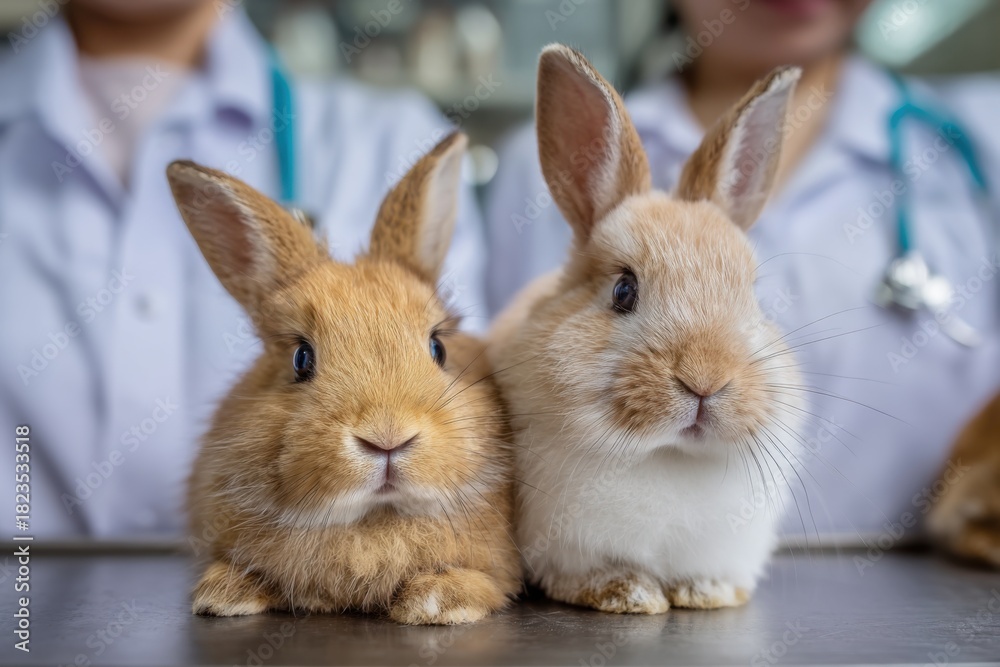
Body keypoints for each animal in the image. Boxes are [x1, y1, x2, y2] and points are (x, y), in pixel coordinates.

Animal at [167, 132, 521, 625]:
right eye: (301, 358)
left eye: (439, 348)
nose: (387, 437)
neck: (373, 519)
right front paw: (224, 594)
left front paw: (440, 601)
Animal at [488, 45, 806, 614]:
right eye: (623, 291)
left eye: (753, 295)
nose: (705, 379)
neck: (669, 452)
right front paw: (631, 595)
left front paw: (707, 594)